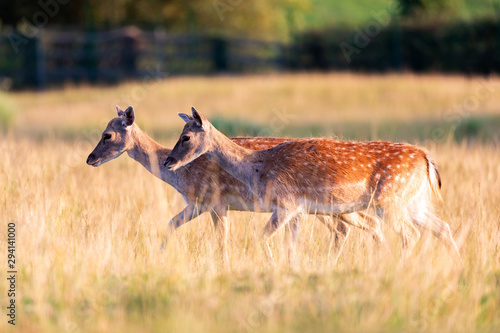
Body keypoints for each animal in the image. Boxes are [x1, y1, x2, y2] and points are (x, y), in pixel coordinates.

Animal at [86, 106, 384, 262]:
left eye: (107, 134)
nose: (90, 158)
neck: (182, 177)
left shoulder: (215, 202)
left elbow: (221, 242)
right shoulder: (197, 204)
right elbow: (170, 224)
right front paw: (160, 257)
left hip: (325, 206)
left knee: (347, 228)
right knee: (359, 226)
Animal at [164, 107, 460, 262]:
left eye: (186, 137)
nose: (168, 161)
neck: (257, 167)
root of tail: (426, 159)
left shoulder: (286, 204)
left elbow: (262, 237)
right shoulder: (296, 210)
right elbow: (290, 245)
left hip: (390, 201)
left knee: (411, 233)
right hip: (413, 202)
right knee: (441, 227)